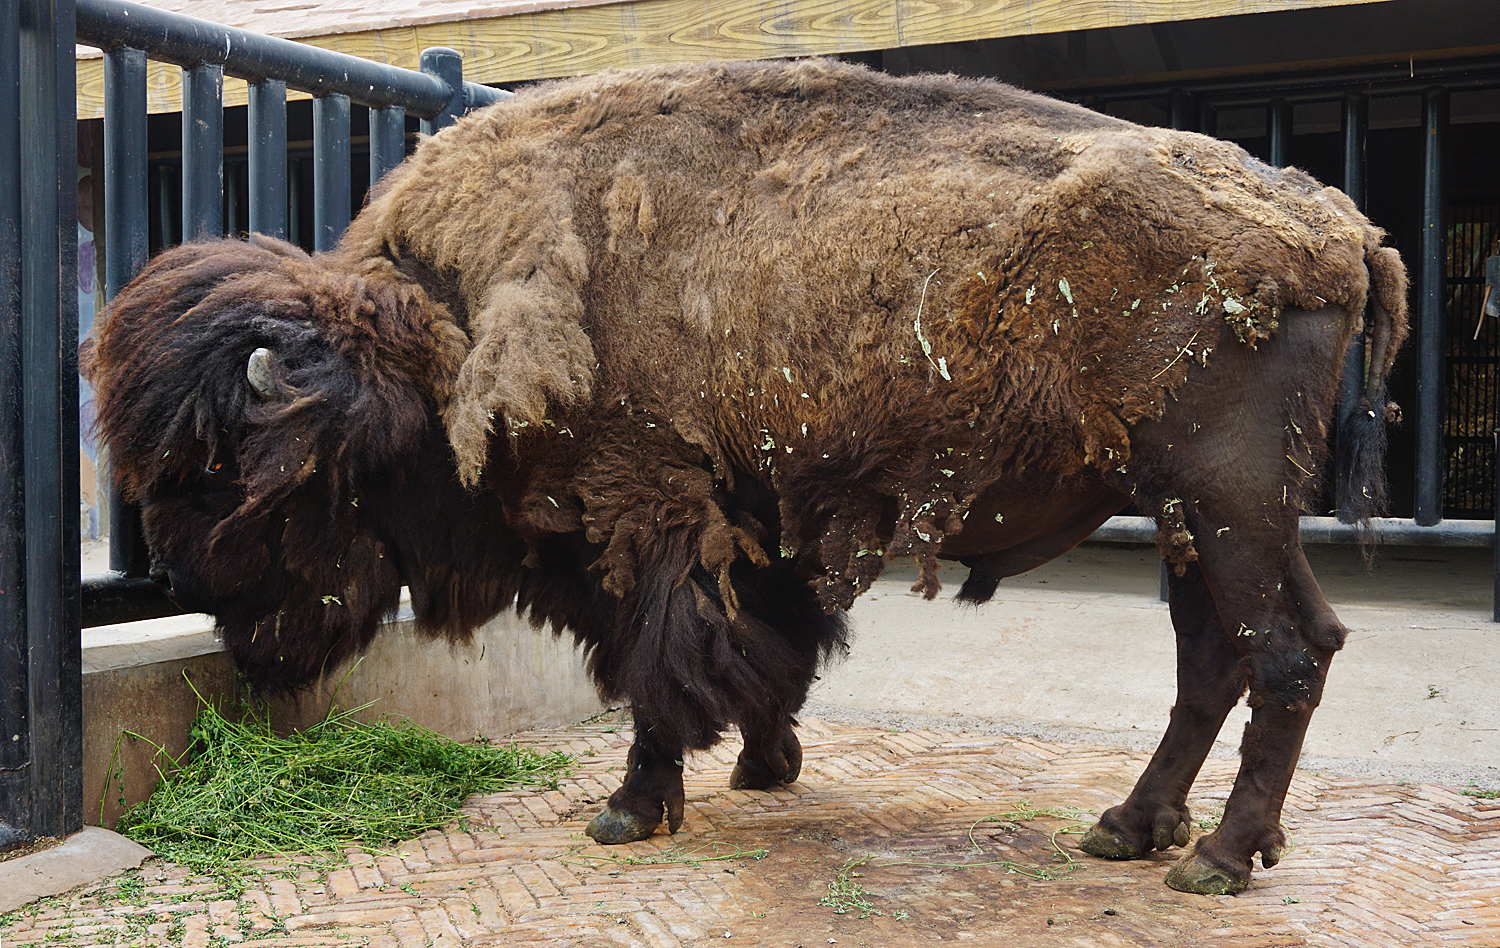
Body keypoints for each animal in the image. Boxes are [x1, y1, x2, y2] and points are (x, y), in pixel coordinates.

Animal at [88, 59, 1408, 895]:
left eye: (236, 478)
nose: (219, 615)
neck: (444, 336)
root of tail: (1344, 231)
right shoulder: (753, 517)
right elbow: (764, 643)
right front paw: (767, 765)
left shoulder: (645, 503)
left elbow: (659, 653)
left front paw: (631, 806)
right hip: (1186, 509)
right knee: (1212, 659)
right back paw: (1130, 829)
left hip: (1229, 500)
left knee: (1290, 650)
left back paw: (1217, 861)